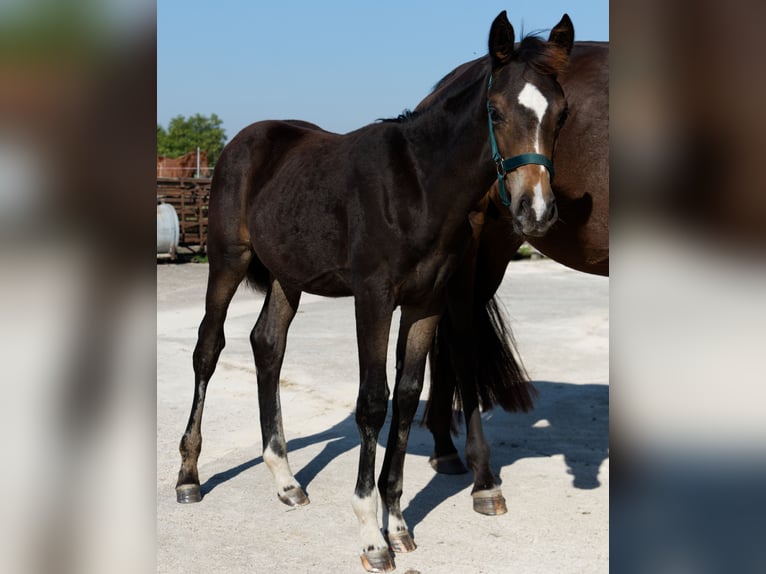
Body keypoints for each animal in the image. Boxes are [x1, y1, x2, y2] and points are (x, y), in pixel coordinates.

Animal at [177, 11, 576, 572]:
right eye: (495, 112)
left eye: (561, 114)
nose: (535, 211)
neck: (419, 188)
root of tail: (245, 139)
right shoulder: (374, 298)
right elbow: (372, 401)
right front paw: (371, 534)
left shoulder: (426, 303)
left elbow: (406, 399)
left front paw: (400, 523)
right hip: (227, 261)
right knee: (208, 348)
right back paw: (189, 476)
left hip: (286, 276)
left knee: (268, 345)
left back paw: (286, 481)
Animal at [424, 41, 608, 516]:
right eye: (496, 113)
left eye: (564, 115)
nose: (539, 208)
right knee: (460, 339)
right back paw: (479, 475)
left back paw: (444, 449)